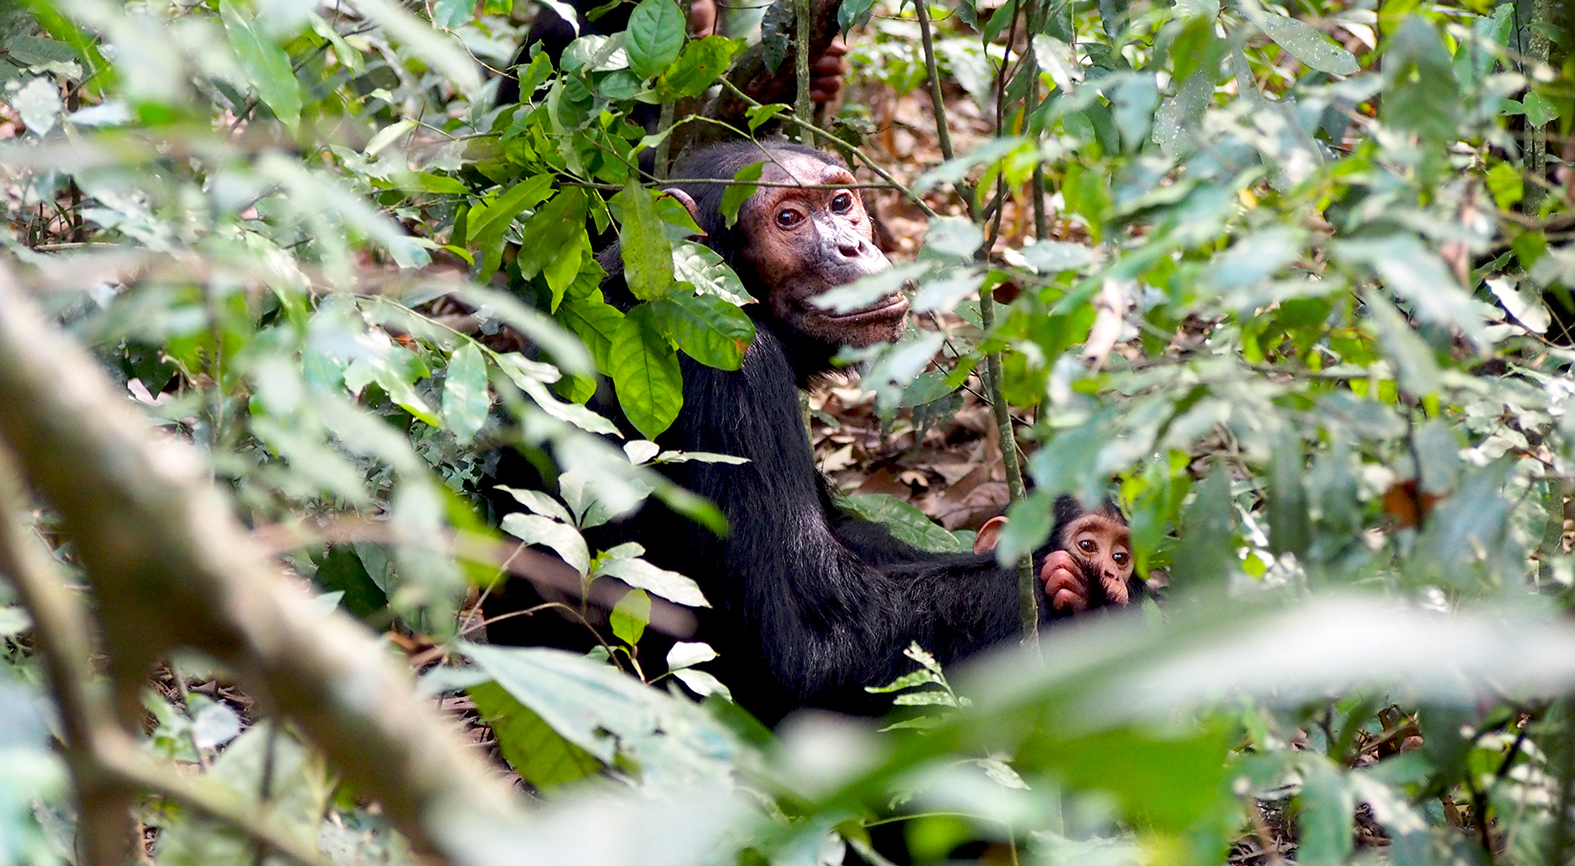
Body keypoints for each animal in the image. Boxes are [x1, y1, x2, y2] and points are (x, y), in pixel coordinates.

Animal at [485, 142, 1140, 727]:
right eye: (789, 219)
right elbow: (801, 646)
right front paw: (1079, 582)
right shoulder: (736, 375)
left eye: (842, 202)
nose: (853, 244)